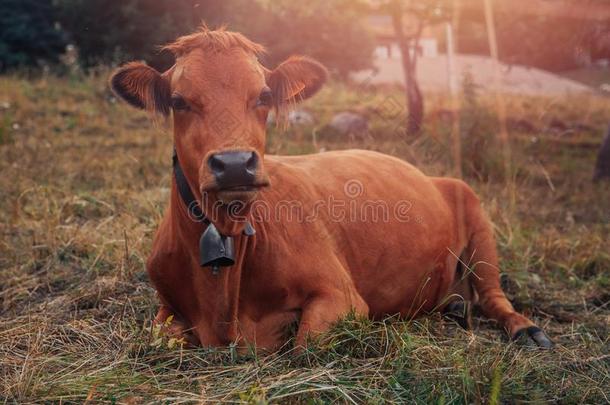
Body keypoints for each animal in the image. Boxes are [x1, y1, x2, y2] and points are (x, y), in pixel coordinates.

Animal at [109, 27, 552, 350]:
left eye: (264, 96)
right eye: (179, 101)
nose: (234, 163)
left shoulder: (343, 296)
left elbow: (304, 347)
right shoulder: (165, 309)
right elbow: (159, 339)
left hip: (478, 221)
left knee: (494, 296)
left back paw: (526, 330)